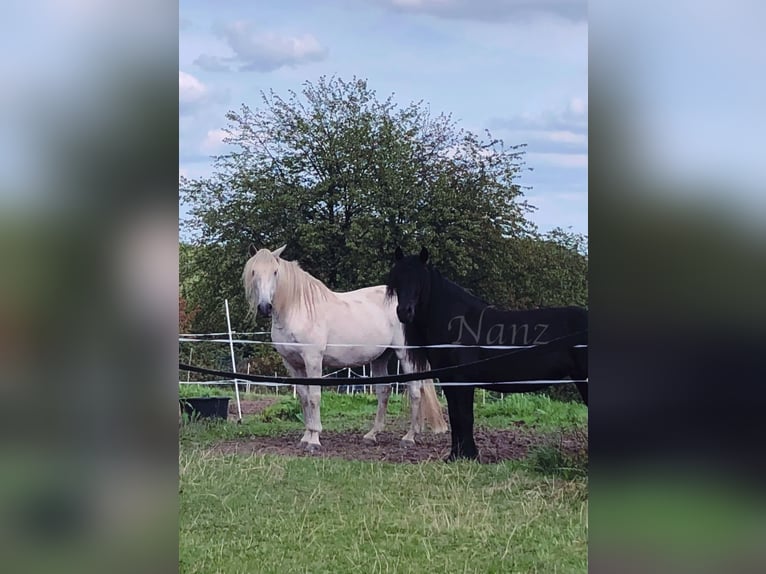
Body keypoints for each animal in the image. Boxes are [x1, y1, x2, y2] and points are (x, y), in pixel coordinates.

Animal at [243, 245, 448, 451]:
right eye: (254, 272)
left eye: (275, 272)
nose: (265, 307)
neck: (298, 310)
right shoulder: (292, 363)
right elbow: (303, 397)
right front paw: (306, 437)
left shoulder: (313, 359)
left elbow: (314, 397)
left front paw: (314, 440)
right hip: (381, 357)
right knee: (384, 391)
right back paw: (373, 435)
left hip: (405, 353)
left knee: (415, 391)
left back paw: (409, 437)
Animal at [386, 247, 588, 461]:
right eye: (397, 279)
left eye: (420, 280)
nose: (404, 312)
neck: (458, 324)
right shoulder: (449, 381)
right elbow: (455, 416)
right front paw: (455, 456)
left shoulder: (462, 381)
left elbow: (465, 416)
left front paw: (469, 455)